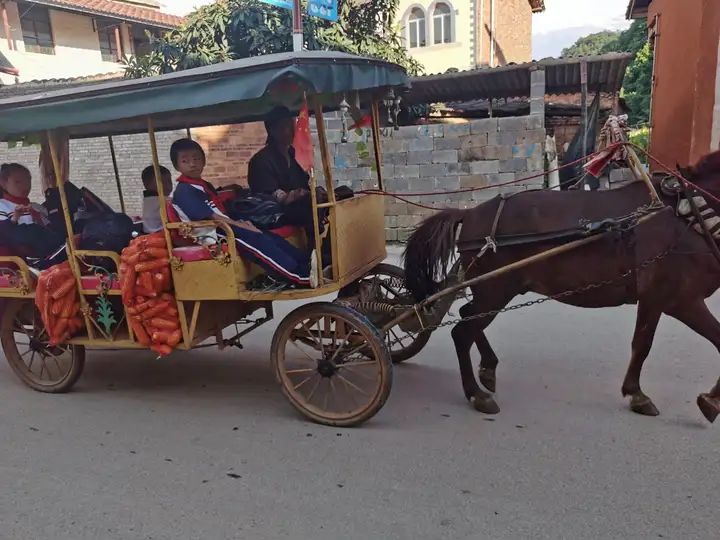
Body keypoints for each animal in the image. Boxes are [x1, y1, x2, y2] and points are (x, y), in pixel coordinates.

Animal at [404, 150, 720, 424]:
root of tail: (469, 215)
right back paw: (476, 394)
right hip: (495, 290)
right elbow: (647, 344)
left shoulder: (665, 299)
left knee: (468, 315)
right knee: (462, 332)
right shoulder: (673, 298)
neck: (686, 216)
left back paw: (488, 368)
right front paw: (642, 396)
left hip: (492, 290)